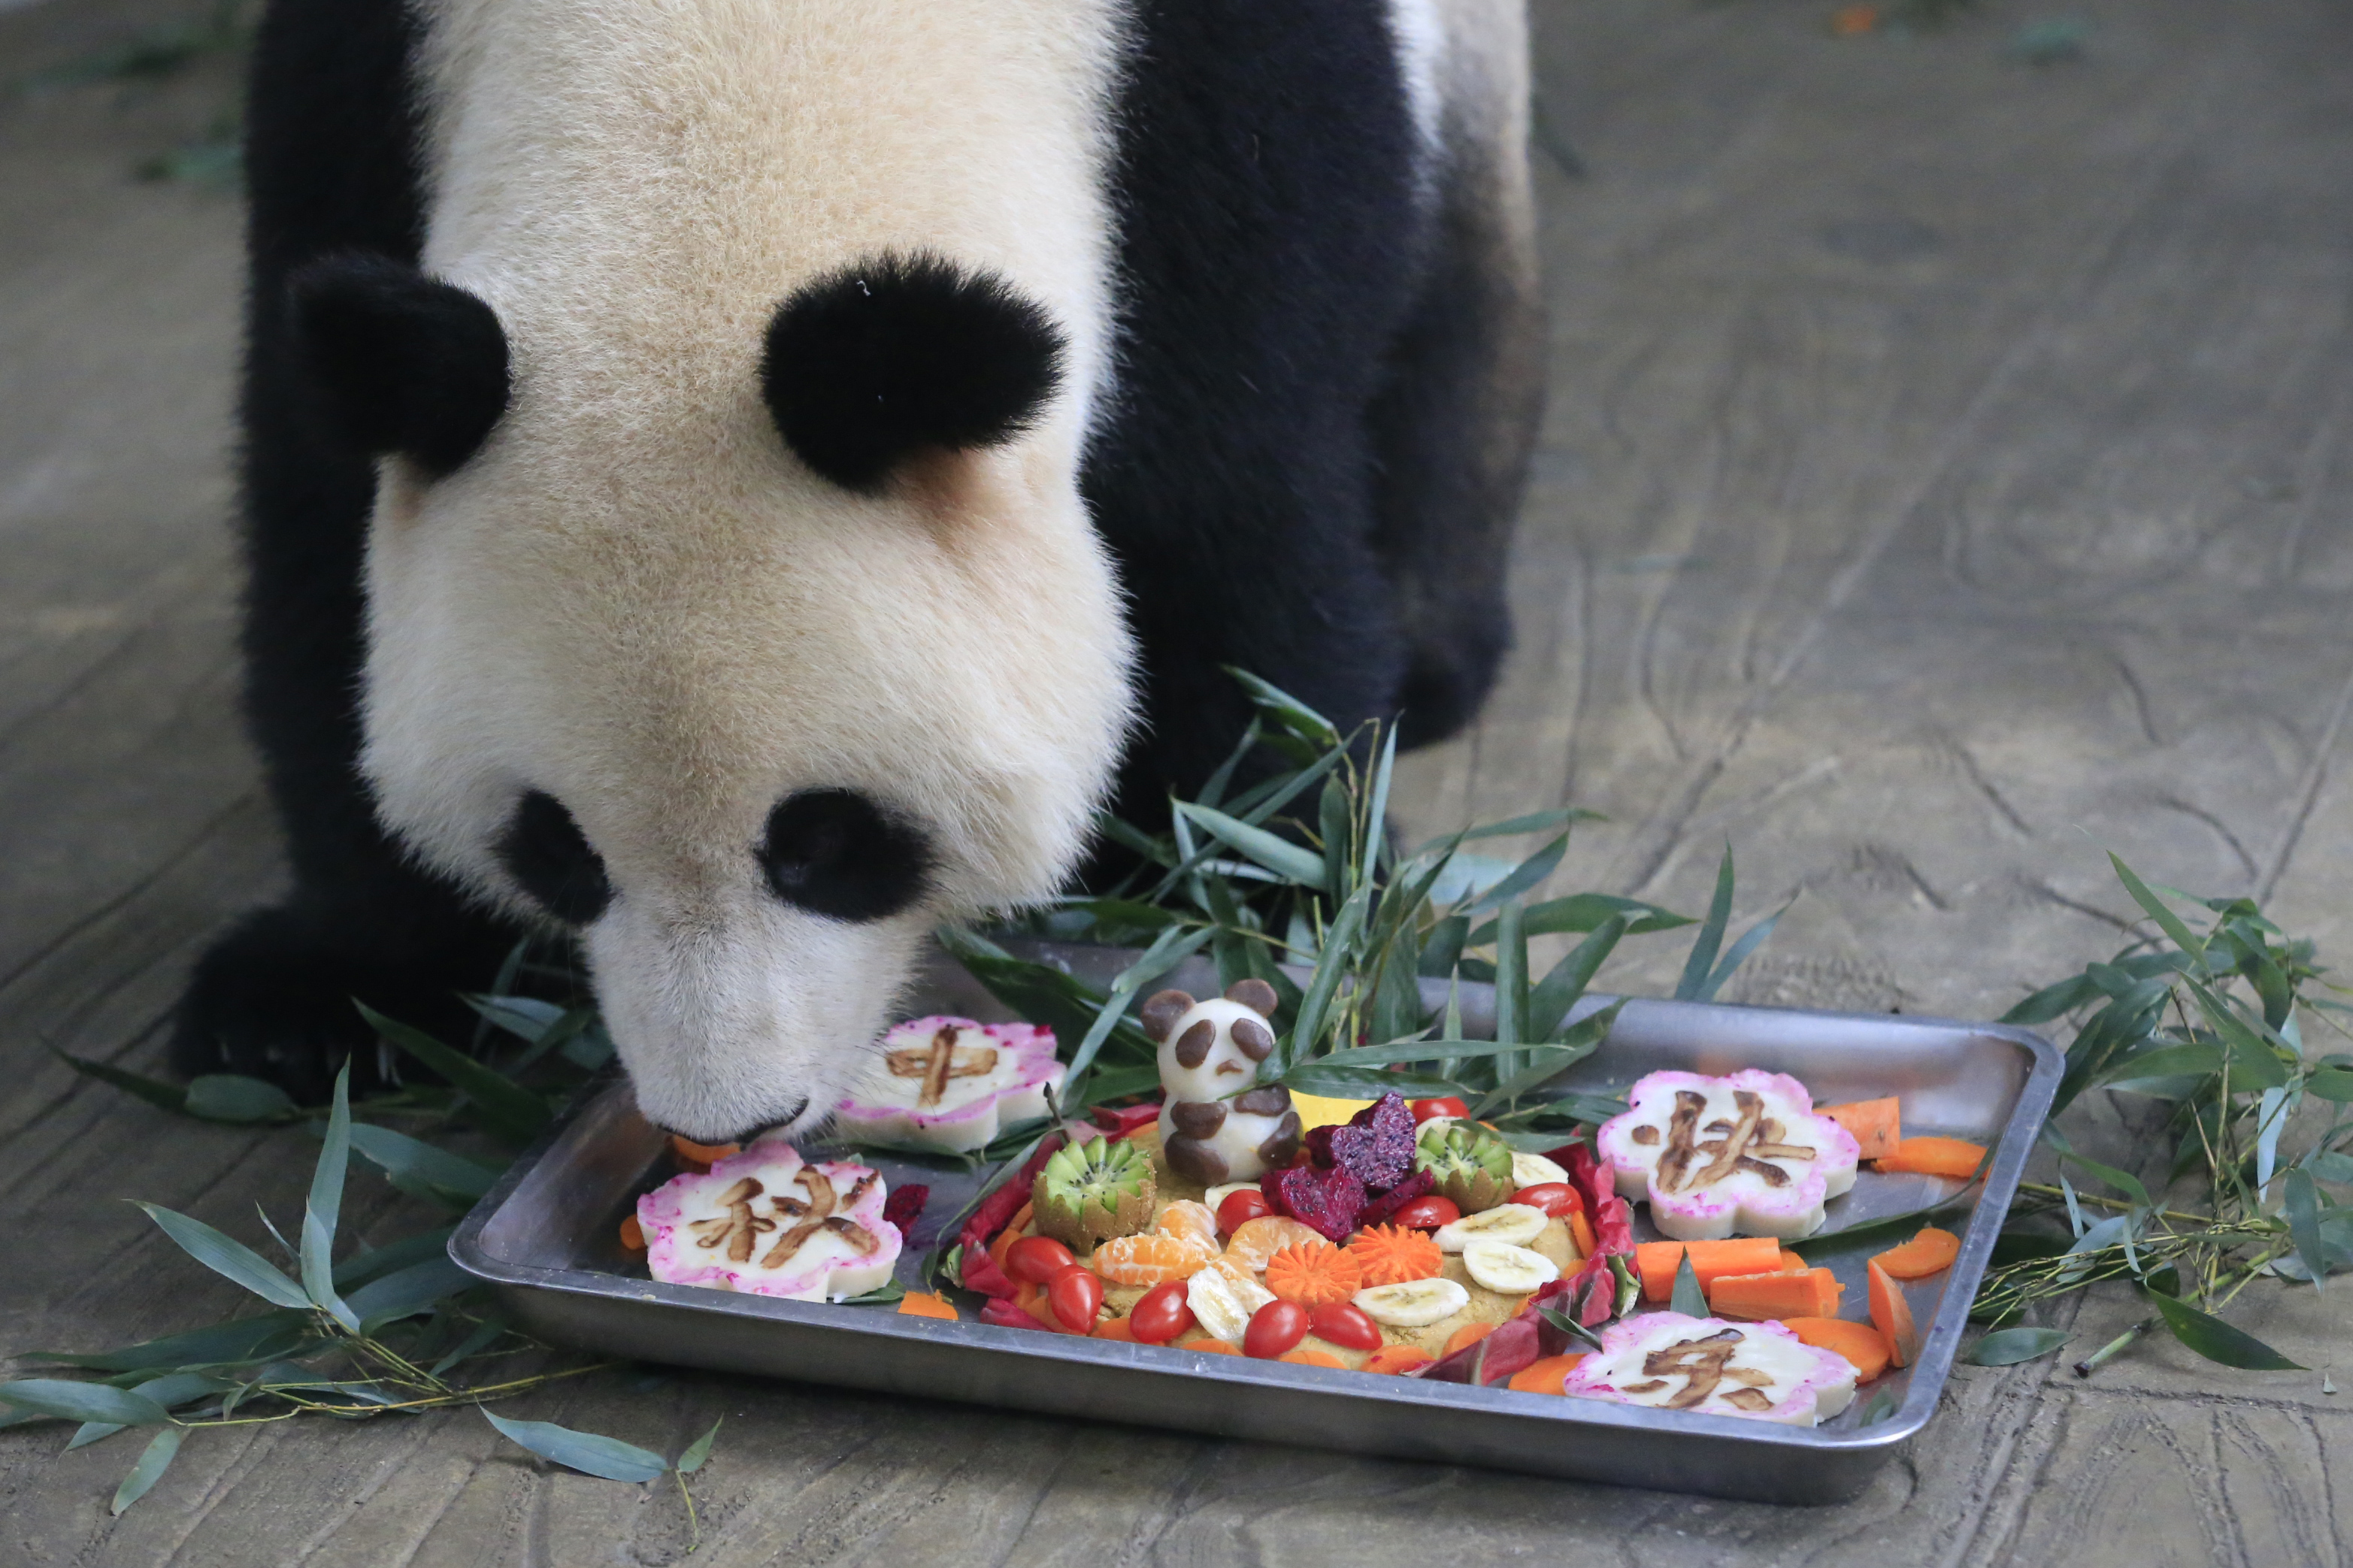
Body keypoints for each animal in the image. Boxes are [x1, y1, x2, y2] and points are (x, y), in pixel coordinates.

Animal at [183, 0, 1543, 1134]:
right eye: (556, 847)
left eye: (828, 840)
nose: (735, 1119)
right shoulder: (362, 91)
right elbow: (314, 532)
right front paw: (318, 997)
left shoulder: (1227, 115)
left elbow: (1238, 509)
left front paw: (1260, 888)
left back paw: (1435, 656)